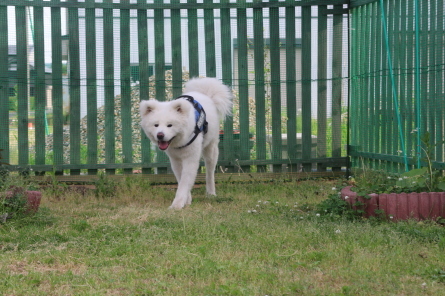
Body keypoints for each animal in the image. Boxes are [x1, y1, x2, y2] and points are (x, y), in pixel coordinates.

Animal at [140, 77, 232, 209]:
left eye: (170, 125)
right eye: (156, 125)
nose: (160, 135)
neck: (179, 143)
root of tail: (204, 93)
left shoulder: (190, 159)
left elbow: (184, 182)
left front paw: (177, 204)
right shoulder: (175, 160)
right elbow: (181, 180)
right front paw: (187, 200)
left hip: (211, 150)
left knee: (210, 173)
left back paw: (211, 193)